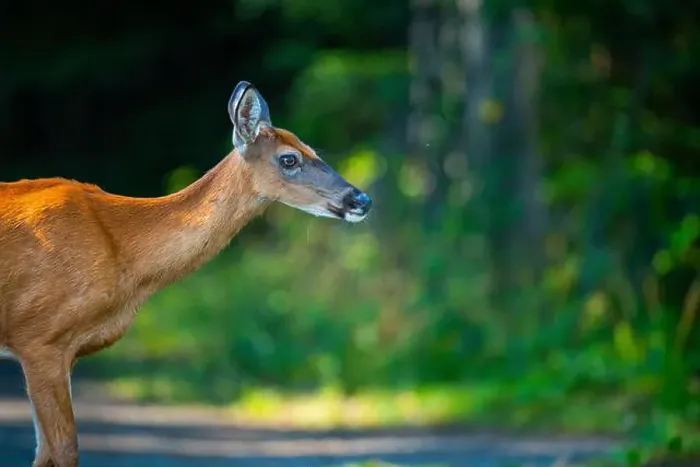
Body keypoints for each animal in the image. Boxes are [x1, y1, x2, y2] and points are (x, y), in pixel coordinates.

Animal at [0, 81, 372, 467]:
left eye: (313, 150)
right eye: (289, 159)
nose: (361, 200)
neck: (122, 249)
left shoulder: (61, 351)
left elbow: (46, 451)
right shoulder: (38, 337)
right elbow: (64, 449)